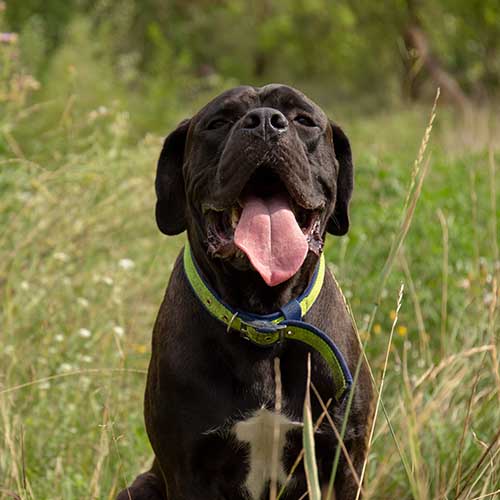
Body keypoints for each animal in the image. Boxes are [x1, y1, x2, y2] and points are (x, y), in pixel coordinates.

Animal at [118, 84, 372, 498]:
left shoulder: (343, 462)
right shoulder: (187, 467)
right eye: (219, 122)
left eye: (304, 120)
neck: (264, 318)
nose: (265, 121)